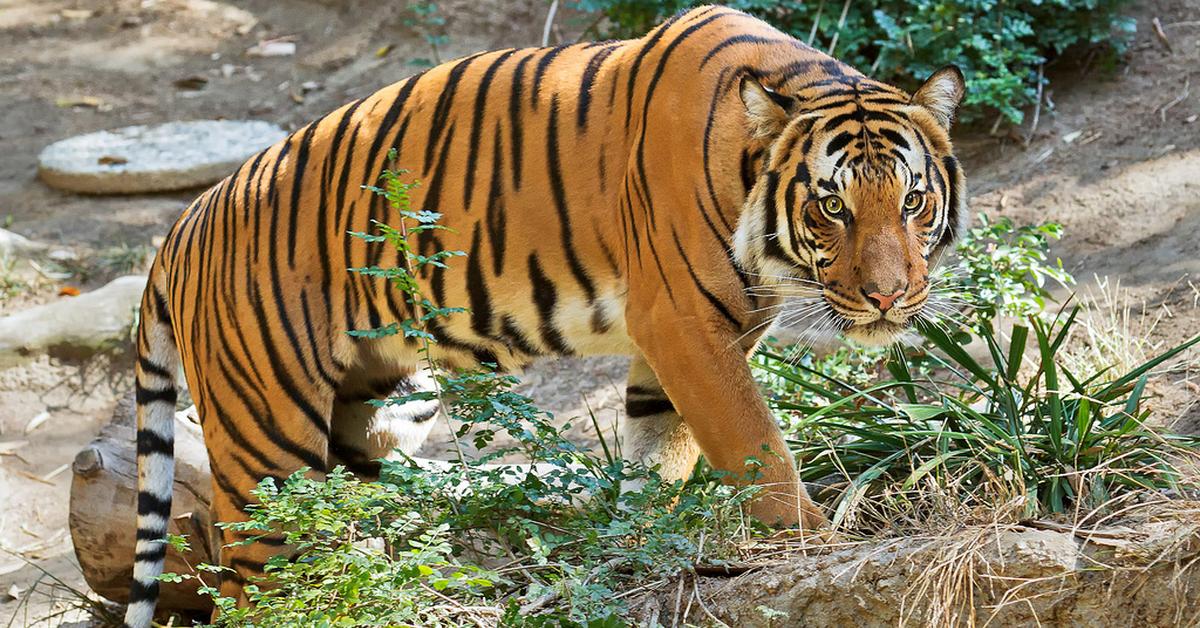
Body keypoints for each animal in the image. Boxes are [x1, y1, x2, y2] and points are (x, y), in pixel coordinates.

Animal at [121, 3, 964, 624]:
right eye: (832, 207)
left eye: (912, 202)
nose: (890, 296)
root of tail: (181, 228)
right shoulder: (687, 326)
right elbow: (758, 449)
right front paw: (809, 549)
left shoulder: (674, 346)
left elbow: (662, 451)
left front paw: (644, 545)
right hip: (267, 442)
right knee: (248, 582)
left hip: (385, 406)